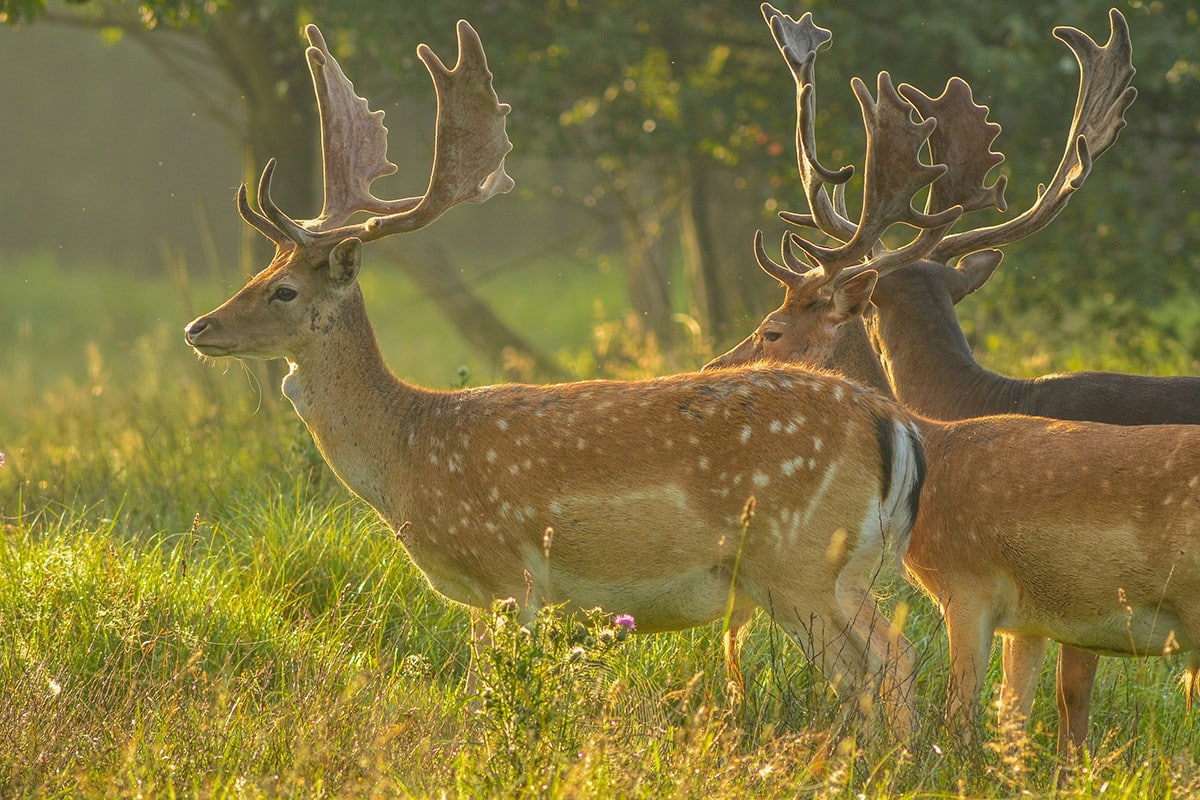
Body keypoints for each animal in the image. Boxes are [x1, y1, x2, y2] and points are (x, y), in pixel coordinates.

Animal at [180, 20, 926, 738]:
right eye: (260, 272)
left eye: (282, 291)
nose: (199, 327)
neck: (405, 452)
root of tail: (891, 421)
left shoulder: (506, 574)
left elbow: (484, 697)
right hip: (841, 568)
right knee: (880, 665)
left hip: (798, 559)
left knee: (885, 658)